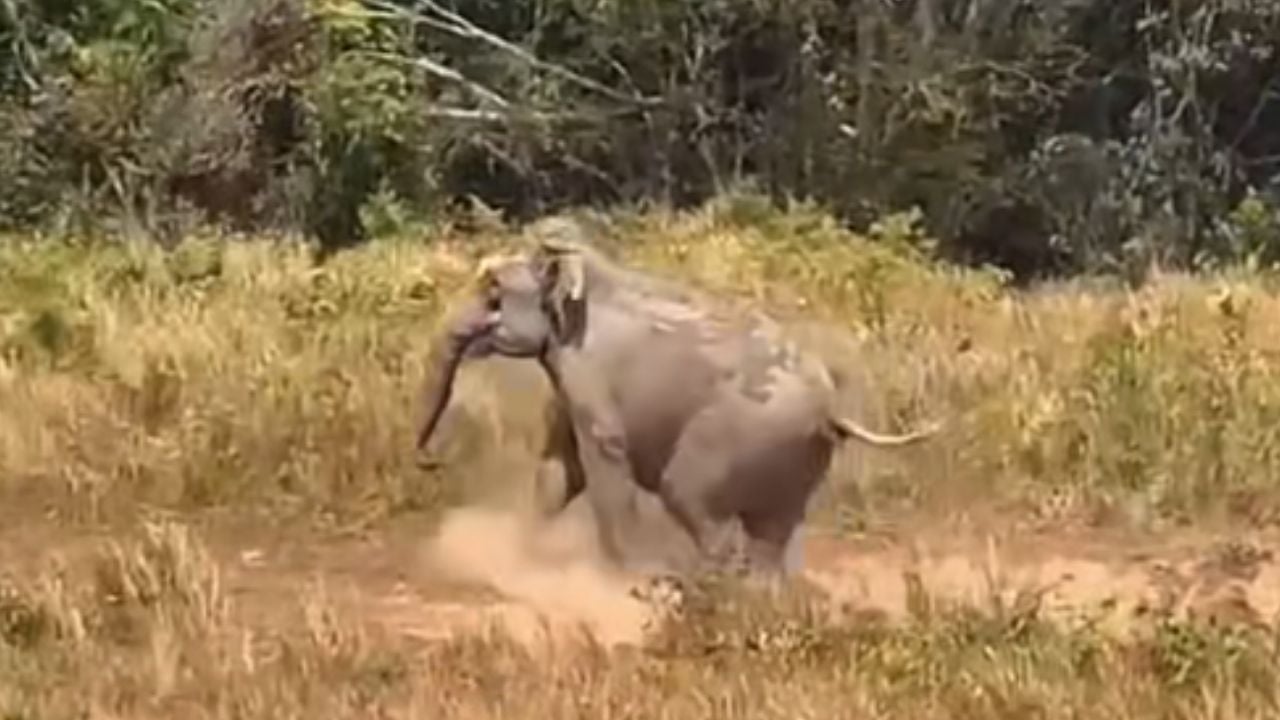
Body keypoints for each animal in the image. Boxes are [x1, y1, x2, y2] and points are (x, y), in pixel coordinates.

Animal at [414, 218, 940, 582]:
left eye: (493, 293)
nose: (428, 460)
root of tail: (833, 409)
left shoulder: (591, 376)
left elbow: (604, 467)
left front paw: (620, 579)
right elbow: (559, 468)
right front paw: (522, 557)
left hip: (739, 435)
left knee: (690, 498)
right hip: (800, 461)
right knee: (771, 535)